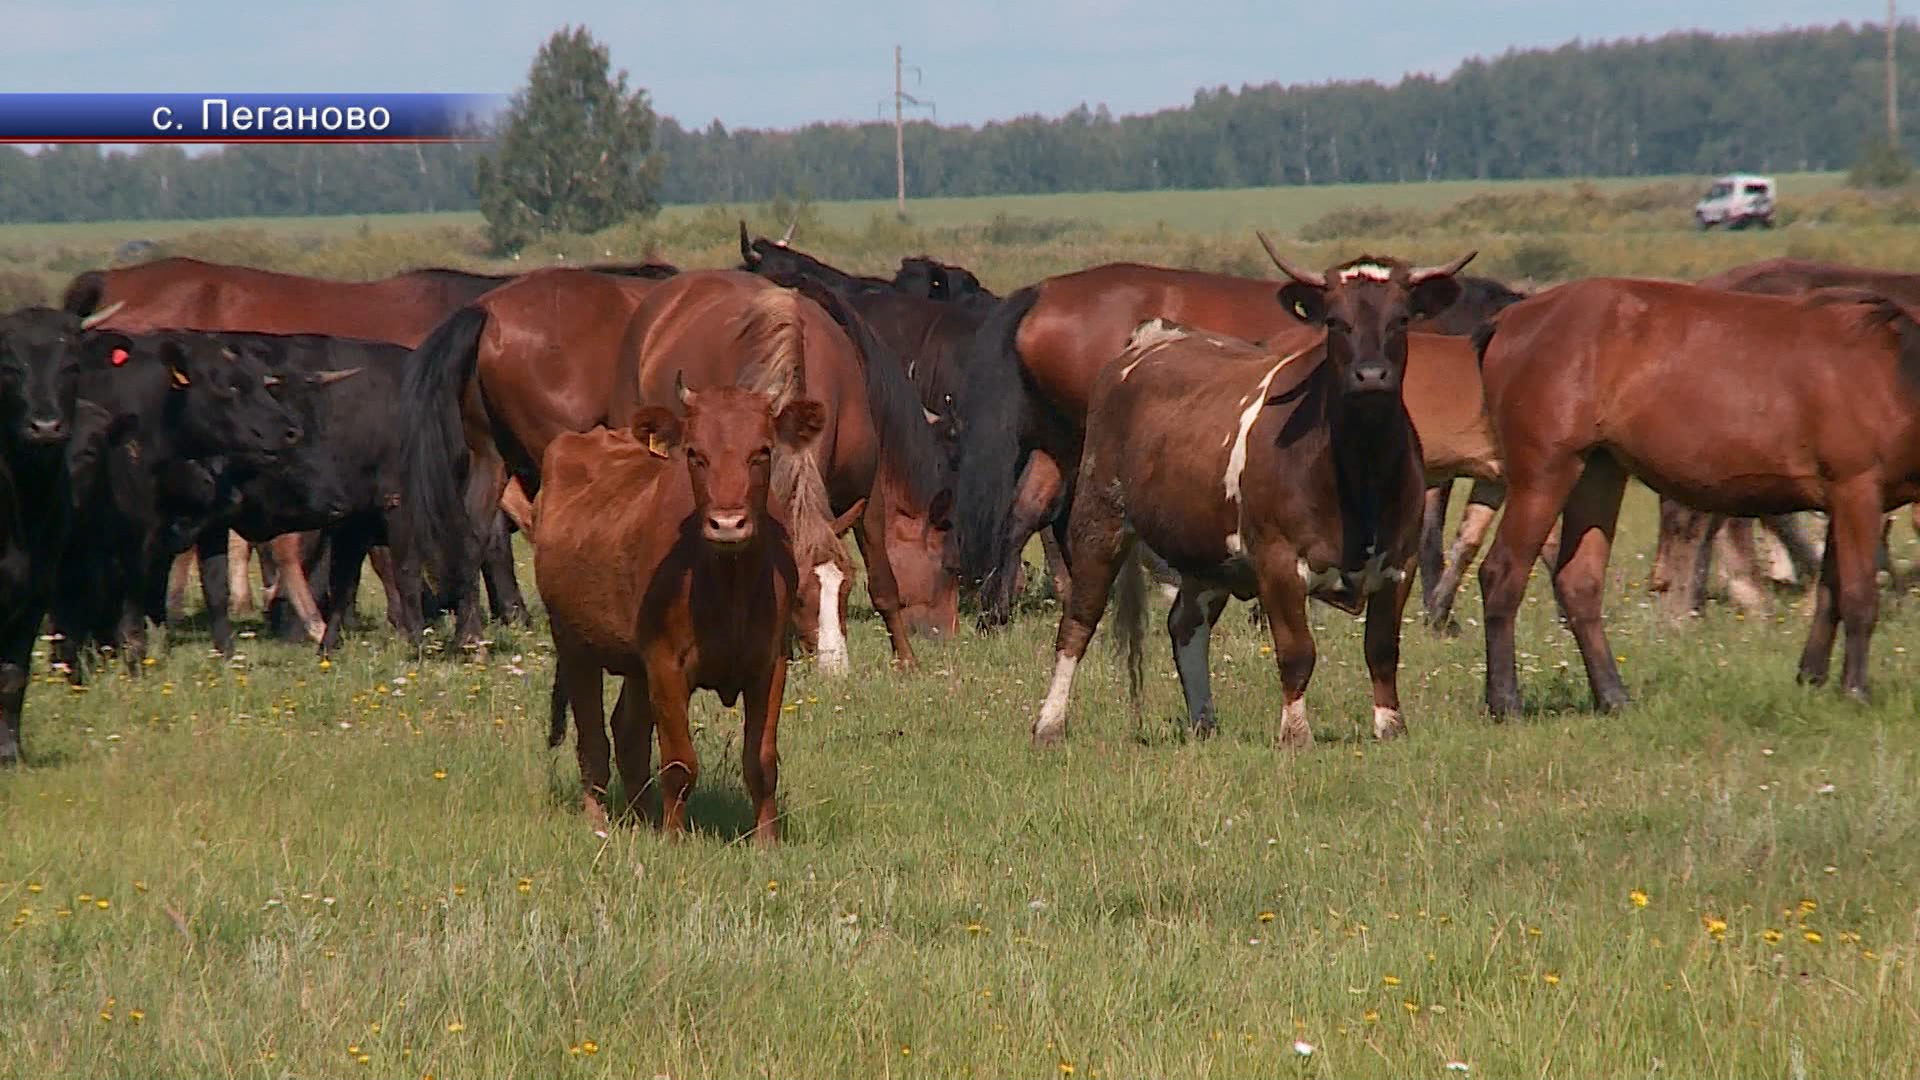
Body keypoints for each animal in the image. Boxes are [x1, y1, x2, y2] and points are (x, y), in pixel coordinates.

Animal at [533, 368, 825, 841]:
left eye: (761, 452)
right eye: (695, 454)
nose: (728, 523)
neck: (729, 587)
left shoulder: (770, 663)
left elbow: (762, 761)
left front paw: (767, 842)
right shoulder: (666, 663)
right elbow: (678, 762)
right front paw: (674, 840)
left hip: (634, 663)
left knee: (628, 734)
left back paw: (643, 817)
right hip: (574, 644)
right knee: (594, 741)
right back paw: (600, 824)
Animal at [1036, 242, 1466, 749]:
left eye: (1401, 319)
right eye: (1334, 321)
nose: (1371, 375)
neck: (1360, 470)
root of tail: (1154, 337)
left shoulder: (1400, 563)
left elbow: (1381, 649)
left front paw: (1390, 727)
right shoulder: (1278, 561)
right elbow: (1297, 651)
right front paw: (1296, 734)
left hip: (1206, 554)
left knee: (1186, 625)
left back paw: (1203, 721)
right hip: (1098, 519)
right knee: (1078, 621)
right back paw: (1049, 722)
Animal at [1474, 282, 1920, 711]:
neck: (1895, 374)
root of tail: (1511, 319)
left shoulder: (1841, 501)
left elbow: (1830, 595)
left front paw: (1812, 677)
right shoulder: (1857, 491)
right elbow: (1859, 596)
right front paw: (1855, 691)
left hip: (1598, 471)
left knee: (1578, 583)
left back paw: (1614, 698)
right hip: (1546, 474)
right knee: (1501, 574)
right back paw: (1505, 701)